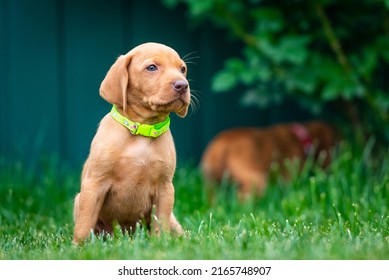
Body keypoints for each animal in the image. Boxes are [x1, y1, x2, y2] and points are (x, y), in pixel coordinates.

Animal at [72, 42, 190, 244]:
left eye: (182, 69)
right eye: (152, 67)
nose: (182, 85)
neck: (142, 130)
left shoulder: (165, 188)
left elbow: (160, 223)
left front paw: (160, 245)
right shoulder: (94, 184)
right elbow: (83, 225)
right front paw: (77, 247)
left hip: (172, 220)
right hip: (79, 201)